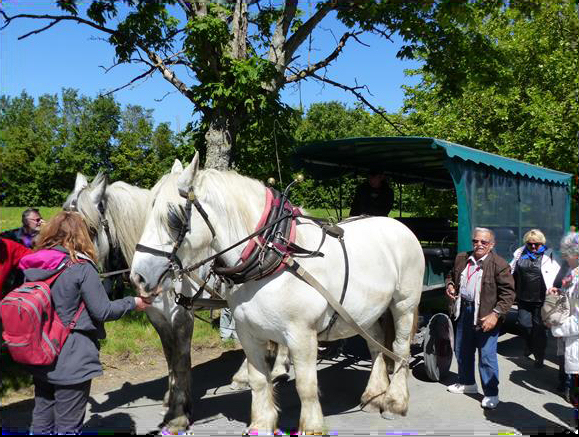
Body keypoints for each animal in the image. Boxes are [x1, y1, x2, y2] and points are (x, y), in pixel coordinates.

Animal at [131, 154, 426, 432]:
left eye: (173, 218)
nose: (138, 277)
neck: (274, 256)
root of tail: (399, 225)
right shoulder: (249, 333)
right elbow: (259, 381)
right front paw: (261, 424)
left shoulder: (301, 335)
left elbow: (306, 386)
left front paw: (312, 427)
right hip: (365, 312)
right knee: (375, 344)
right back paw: (374, 394)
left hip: (403, 304)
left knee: (399, 348)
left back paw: (394, 401)